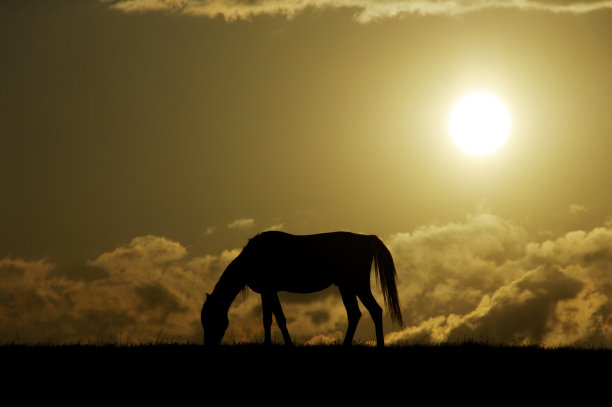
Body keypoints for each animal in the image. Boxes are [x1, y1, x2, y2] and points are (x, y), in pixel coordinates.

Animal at [200, 233, 402, 348]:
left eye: (210, 319)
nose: (208, 345)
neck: (253, 257)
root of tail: (366, 238)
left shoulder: (268, 290)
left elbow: (273, 319)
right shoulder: (269, 291)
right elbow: (274, 319)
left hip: (358, 284)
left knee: (374, 310)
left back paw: (379, 346)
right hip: (346, 287)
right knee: (355, 314)